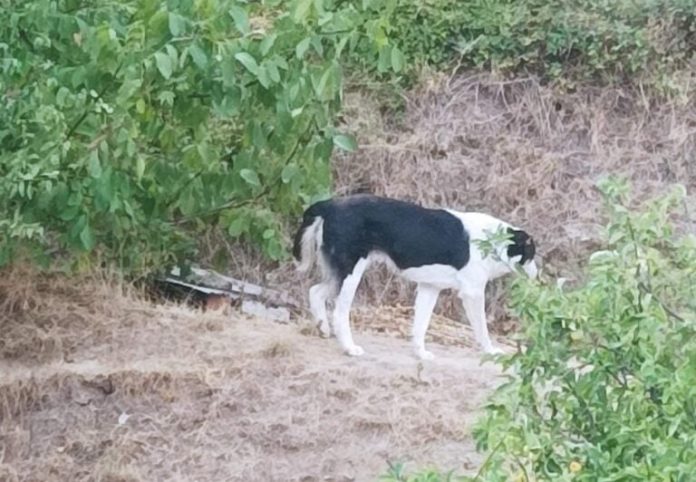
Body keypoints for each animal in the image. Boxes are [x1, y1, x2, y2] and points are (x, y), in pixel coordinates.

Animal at [290, 195, 540, 358]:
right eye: (531, 255)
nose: (538, 276)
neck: (493, 241)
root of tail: (329, 205)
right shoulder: (473, 294)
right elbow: (482, 329)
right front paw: (491, 352)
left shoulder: (430, 288)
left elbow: (421, 325)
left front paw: (421, 353)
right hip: (351, 274)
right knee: (340, 313)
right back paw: (349, 348)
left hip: (340, 274)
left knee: (315, 291)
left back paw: (322, 329)